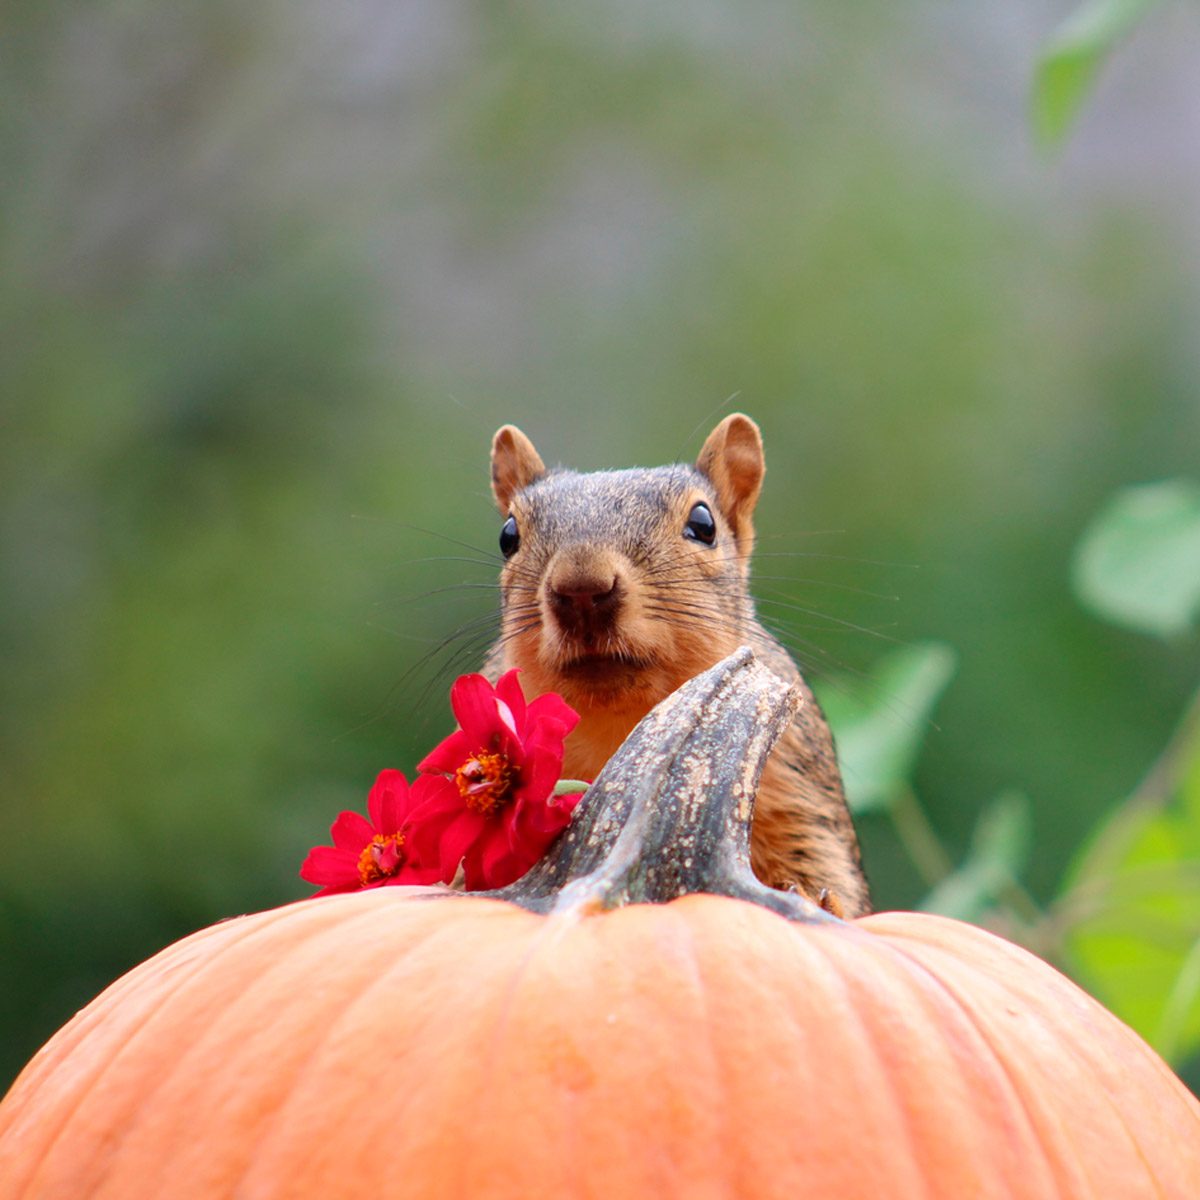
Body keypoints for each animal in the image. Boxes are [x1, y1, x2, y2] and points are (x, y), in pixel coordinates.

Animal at [483, 414, 870, 918]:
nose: (582, 587)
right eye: (508, 536)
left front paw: (816, 900)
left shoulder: (800, 785)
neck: (622, 718)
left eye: (703, 524)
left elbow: (821, 858)